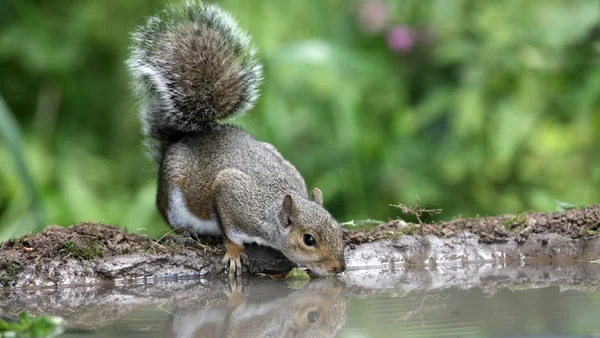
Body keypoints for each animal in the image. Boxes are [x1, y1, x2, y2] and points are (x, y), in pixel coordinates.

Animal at [125, 1, 346, 278]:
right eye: (309, 239)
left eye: (339, 229)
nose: (340, 267)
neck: (270, 211)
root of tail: (180, 141)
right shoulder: (231, 195)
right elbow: (229, 232)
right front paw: (233, 253)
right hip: (173, 196)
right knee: (171, 219)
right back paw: (184, 233)